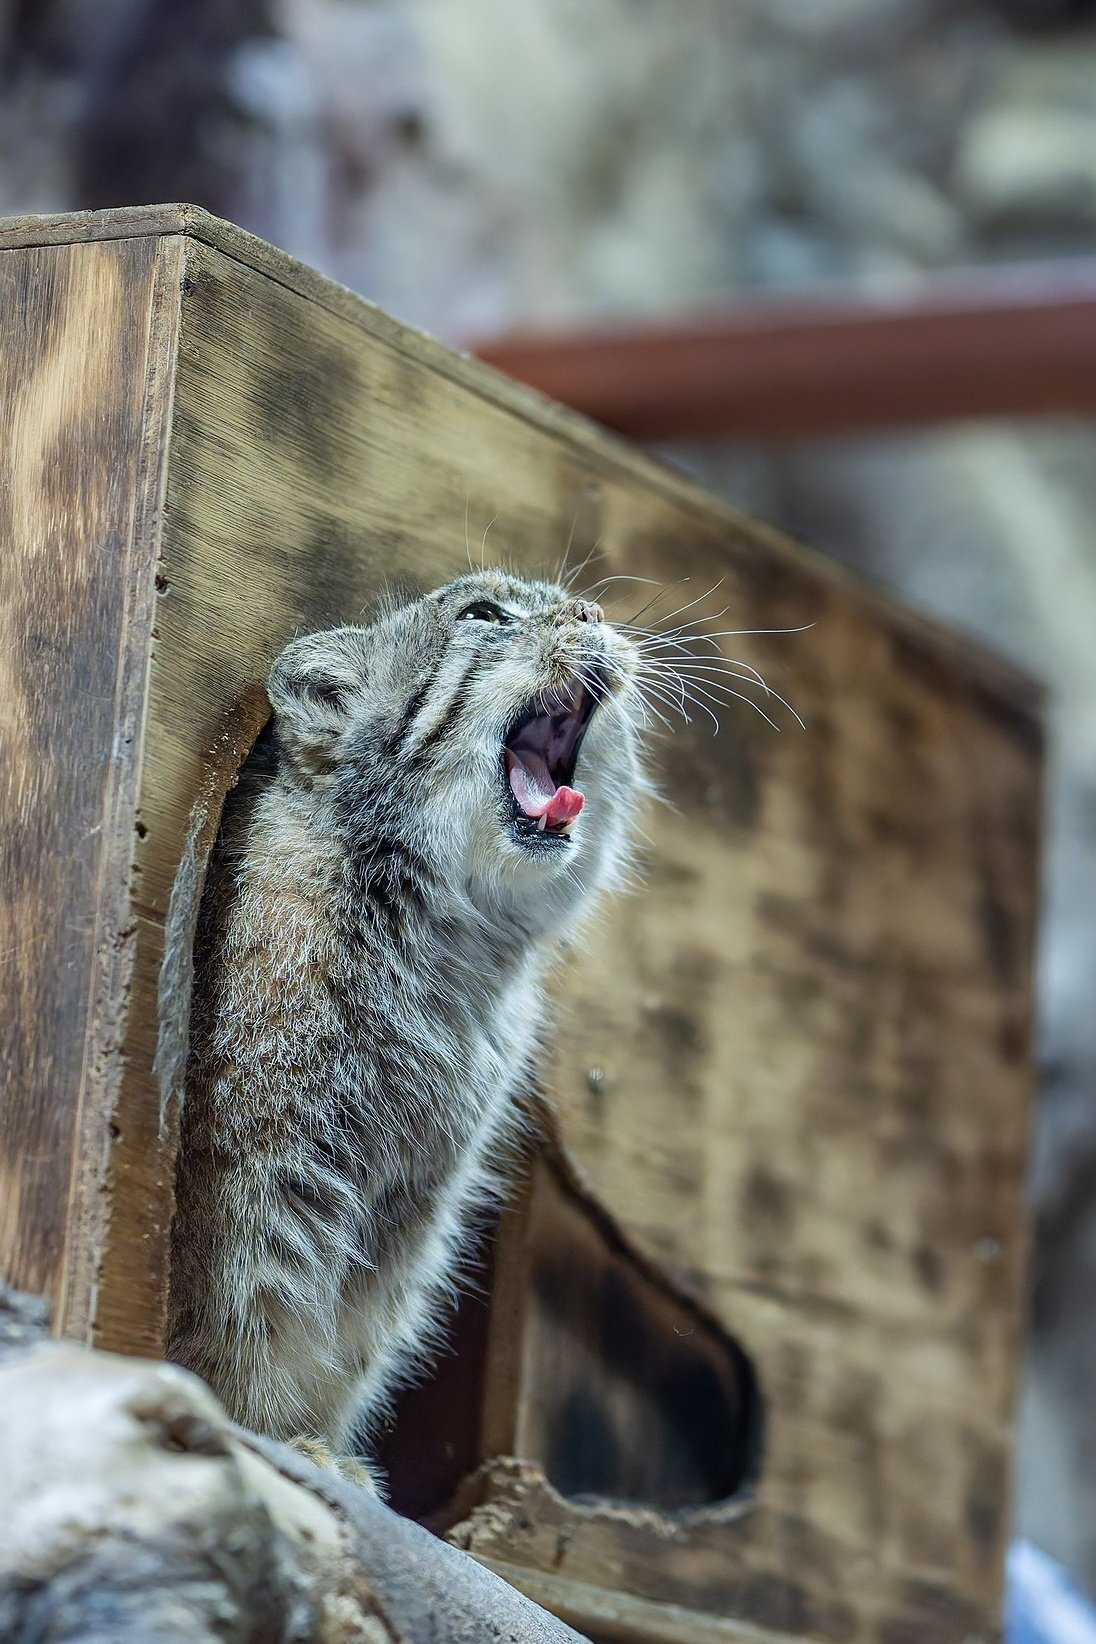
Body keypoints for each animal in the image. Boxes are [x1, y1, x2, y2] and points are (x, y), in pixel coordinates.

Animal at [169, 572, 650, 1473]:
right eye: (484, 616)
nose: (594, 615)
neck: (445, 944)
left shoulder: (416, 1199)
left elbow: (361, 1325)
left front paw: (317, 1439)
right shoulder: (253, 1163)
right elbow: (242, 1298)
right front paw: (262, 1434)